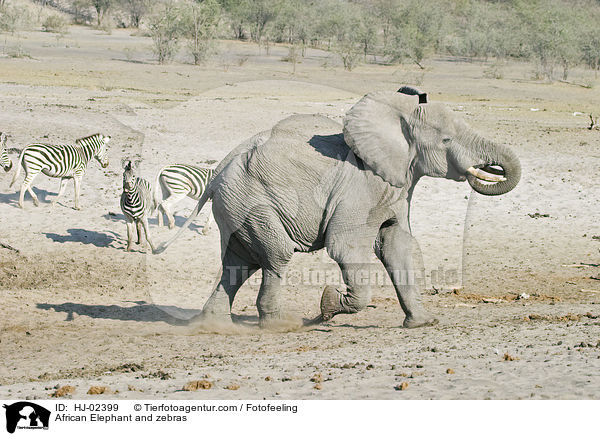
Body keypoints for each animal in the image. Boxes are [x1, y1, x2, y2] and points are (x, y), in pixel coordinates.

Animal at [156, 87, 520, 328]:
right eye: (446, 140)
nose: (486, 168)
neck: (396, 119)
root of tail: (218, 170)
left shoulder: (397, 187)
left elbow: (398, 246)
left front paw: (422, 323)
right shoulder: (361, 187)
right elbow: (346, 247)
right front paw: (328, 305)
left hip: (235, 206)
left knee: (239, 263)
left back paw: (212, 326)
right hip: (250, 202)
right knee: (275, 257)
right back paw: (277, 327)